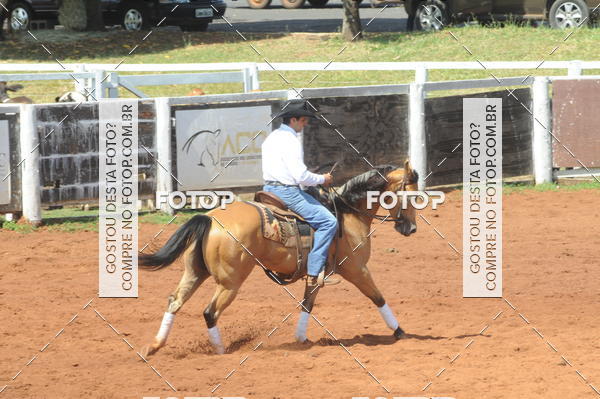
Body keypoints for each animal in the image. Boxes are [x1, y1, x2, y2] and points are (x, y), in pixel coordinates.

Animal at [138, 161, 420, 358]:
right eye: (412, 197)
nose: (411, 229)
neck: (347, 213)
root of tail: (211, 219)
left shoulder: (316, 275)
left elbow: (308, 305)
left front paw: (301, 339)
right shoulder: (357, 269)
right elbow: (378, 297)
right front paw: (400, 332)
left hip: (195, 272)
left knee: (175, 301)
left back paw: (155, 346)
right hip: (230, 283)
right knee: (210, 312)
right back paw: (220, 351)